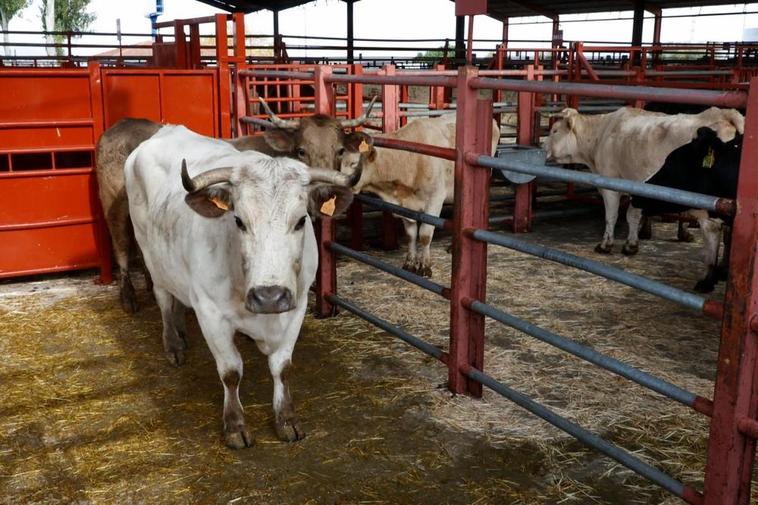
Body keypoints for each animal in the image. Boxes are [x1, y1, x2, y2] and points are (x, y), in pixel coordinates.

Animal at [98, 95, 378, 312]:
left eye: (340, 150)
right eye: (301, 150)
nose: (323, 190)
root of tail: (121, 126)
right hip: (114, 205)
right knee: (121, 245)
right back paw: (129, 298)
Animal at [125, 124, 356, 446]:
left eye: (300, 221)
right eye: (238, 220)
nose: (269, 297)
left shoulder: (296, 308)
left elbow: (282, 368)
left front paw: (286, 419)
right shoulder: (210, 314)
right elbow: (231, 371)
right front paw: (235, 424)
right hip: (150, 256)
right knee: (164, 300)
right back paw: (173, 344)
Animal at [544, 106, 744, 256]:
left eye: (554, 130)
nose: (542, 146)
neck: (602, 135)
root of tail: (724, 114)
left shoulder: (610, 184)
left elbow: (612, 216)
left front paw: (605, 245)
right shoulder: (638, 187)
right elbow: (632, 215)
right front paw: (631, 245)